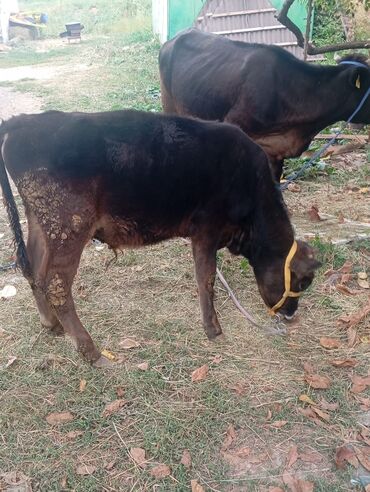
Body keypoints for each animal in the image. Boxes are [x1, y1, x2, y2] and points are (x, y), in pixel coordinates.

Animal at [0, 110, 318, 366]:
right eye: (303, 281)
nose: (291, 314)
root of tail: (22, 121)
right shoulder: (207, 229)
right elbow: (206, 280)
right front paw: (213, 330)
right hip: (69, 224)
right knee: (56, 284)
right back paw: (92, 352)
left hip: (42, 222)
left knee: (33, 268)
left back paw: (51, 325)